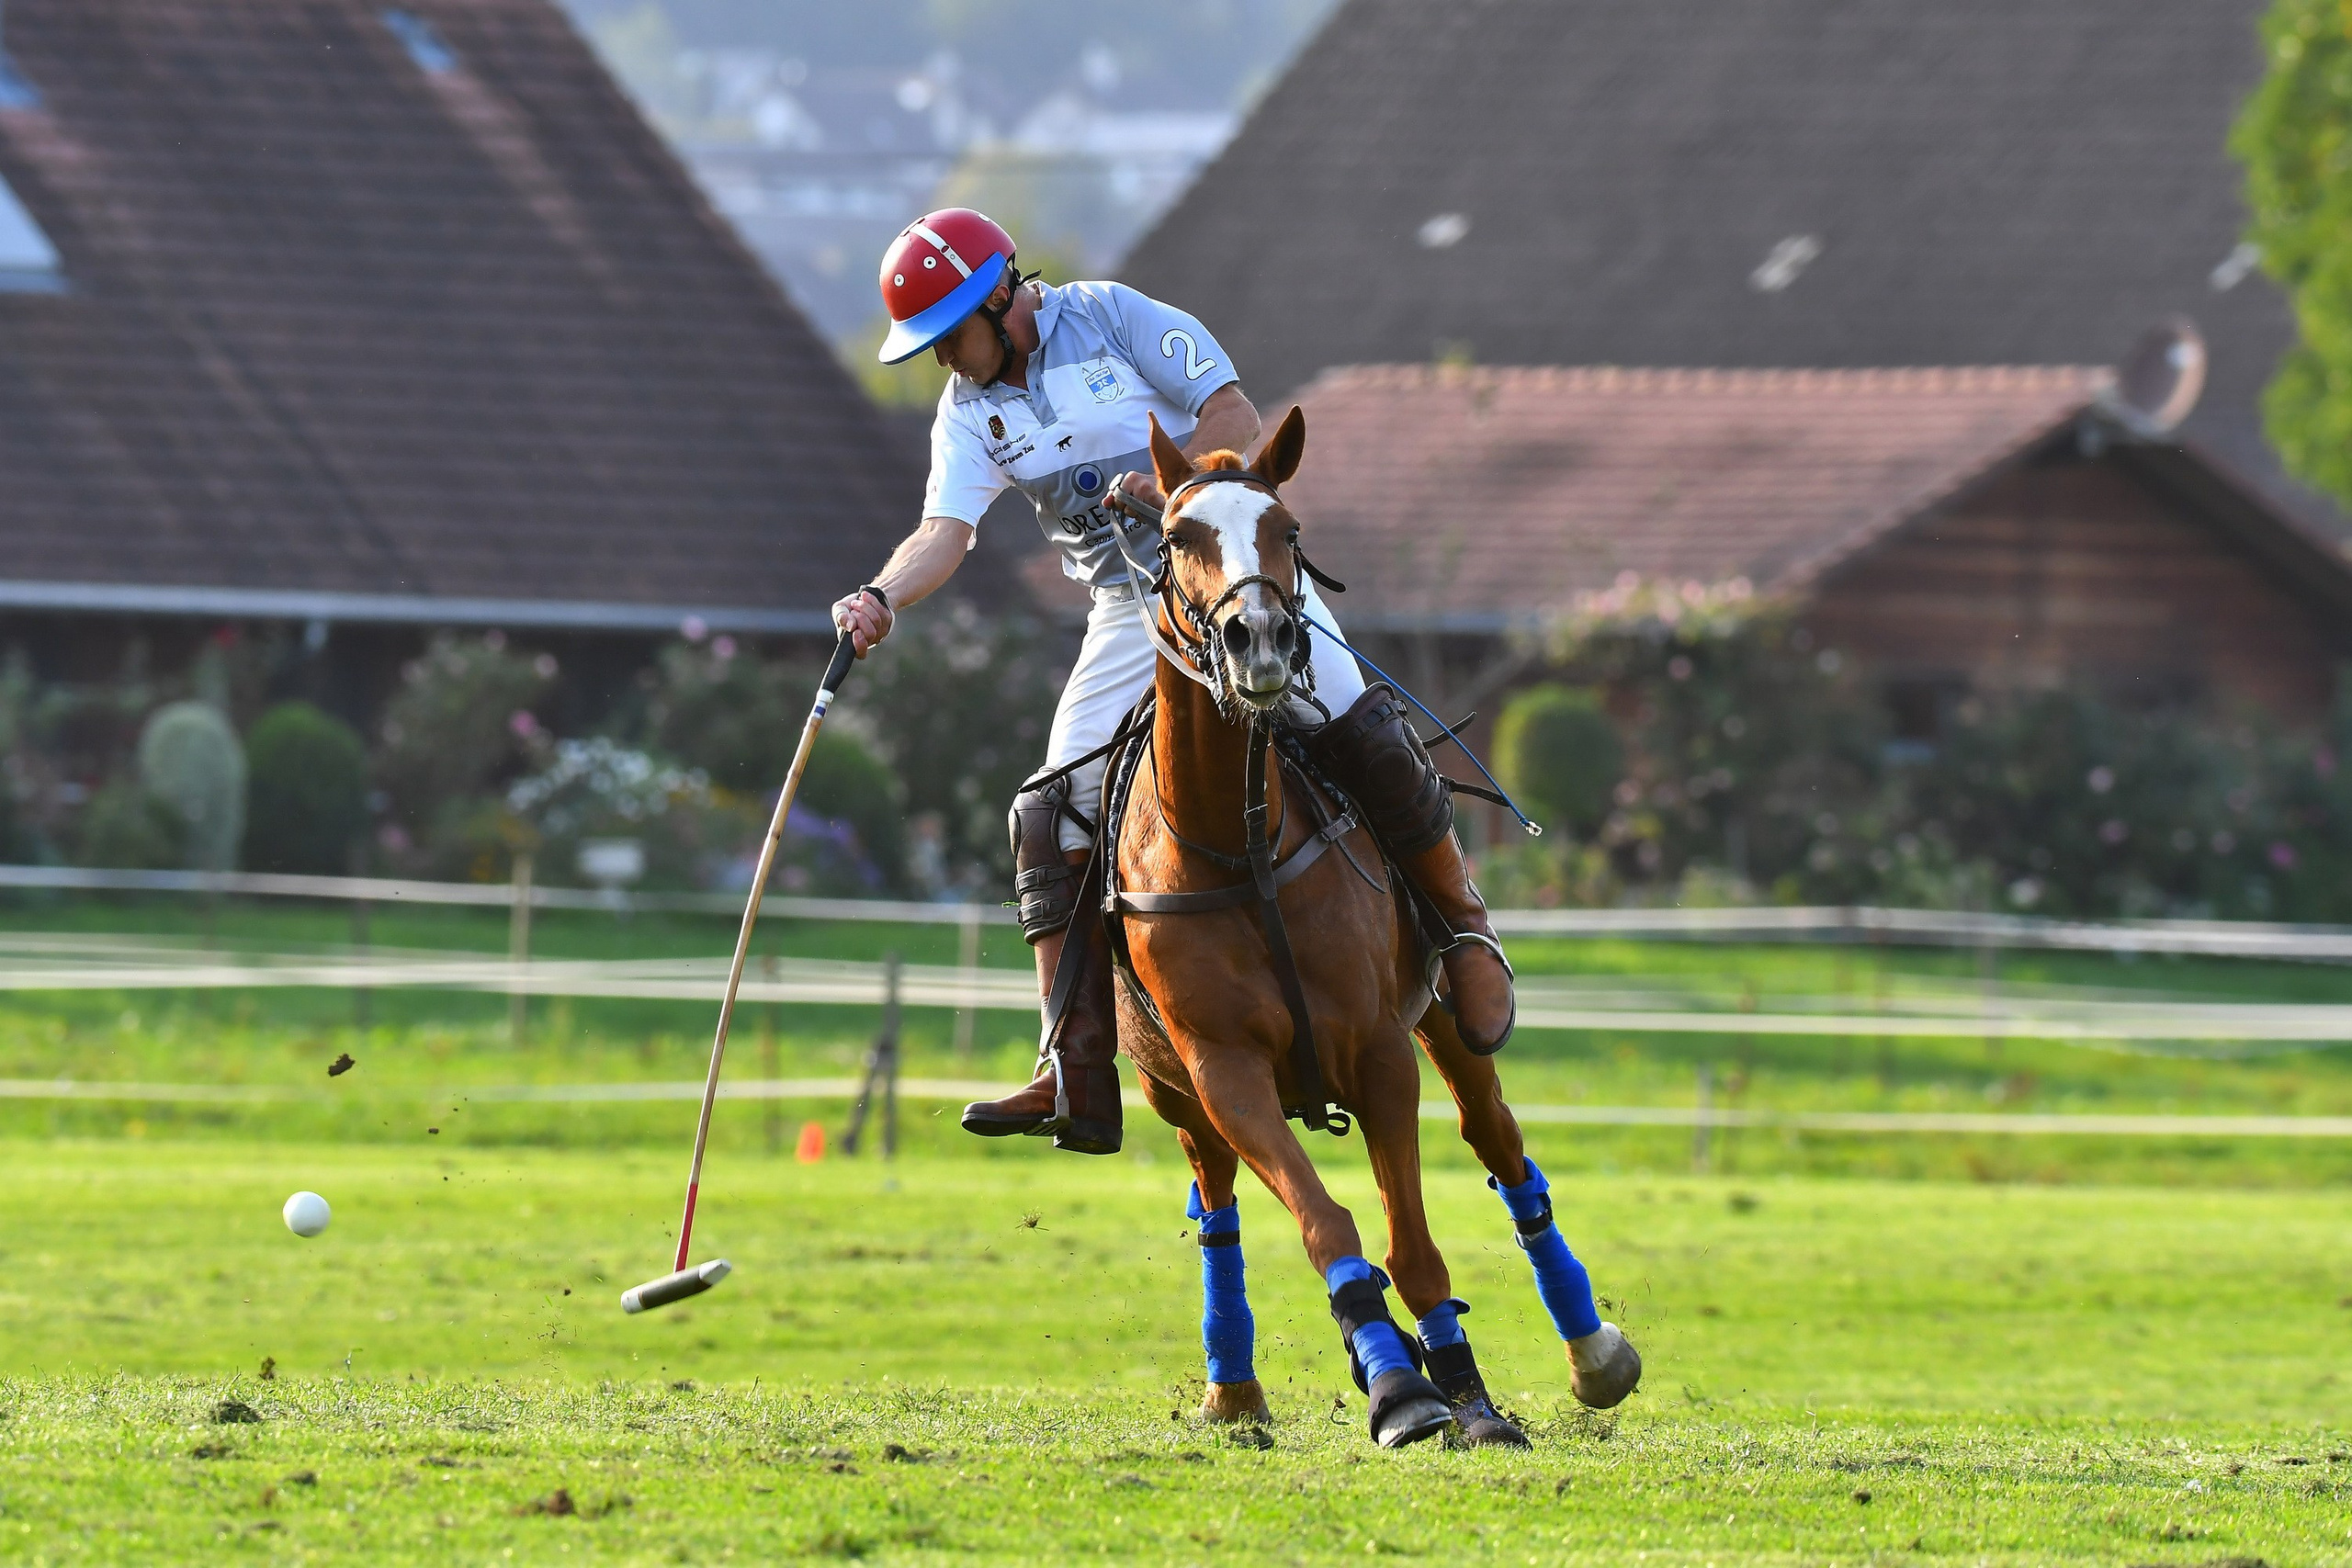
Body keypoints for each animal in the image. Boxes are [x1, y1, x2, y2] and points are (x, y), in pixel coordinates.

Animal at [1098, 406, 1641, 1448]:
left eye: (1289, 530)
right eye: (1177, 537)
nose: (1261, 640)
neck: (1239, 845)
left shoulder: (1381, 1051)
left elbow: (1415, 1246)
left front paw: (1463, 1395)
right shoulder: (1223, 1071)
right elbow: (1328, 1225)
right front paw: (1394, 1385)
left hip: (1448, 1017)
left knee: (1499, 1143)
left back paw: (1592, 1354)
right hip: (1169, 1093)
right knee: (1216, 1203)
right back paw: (1233, 1391)